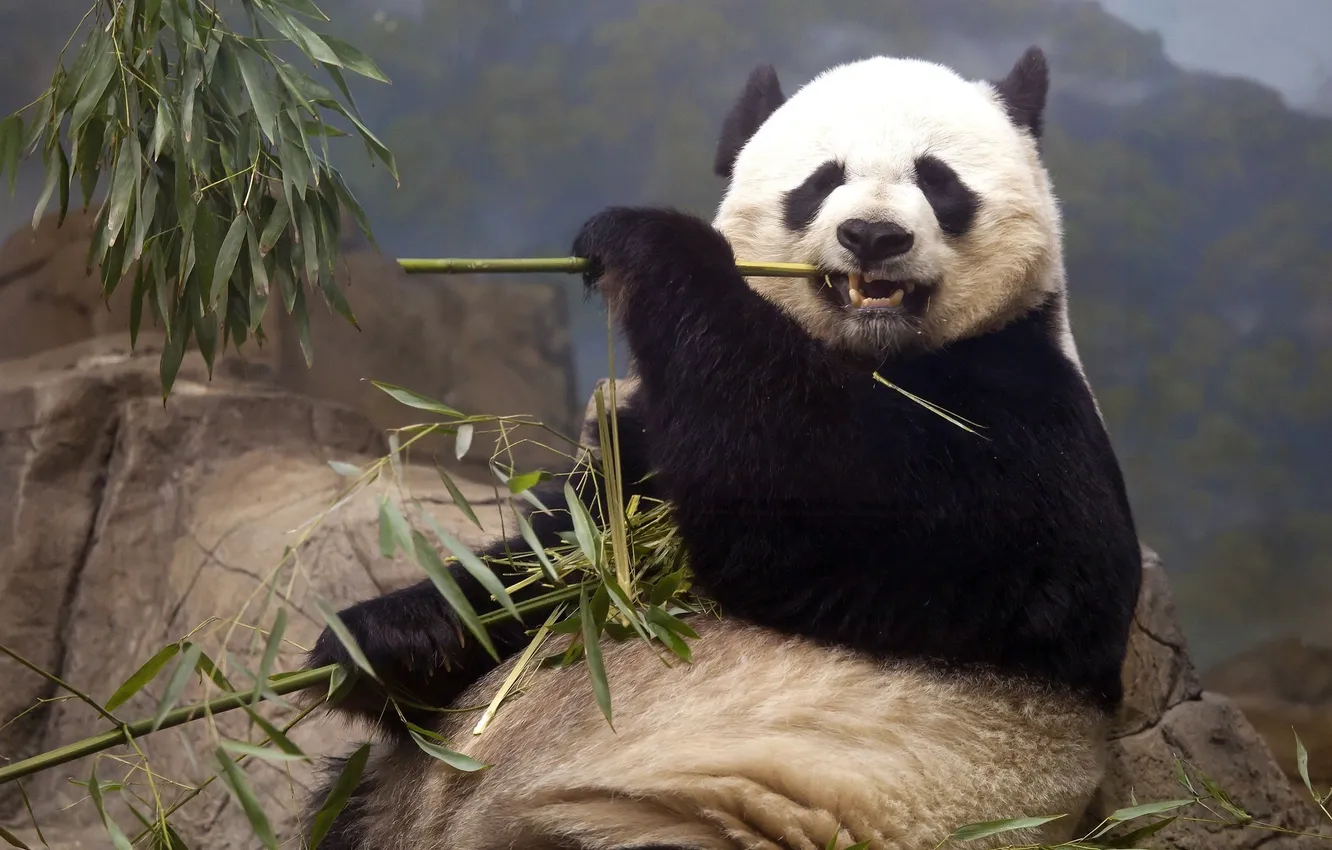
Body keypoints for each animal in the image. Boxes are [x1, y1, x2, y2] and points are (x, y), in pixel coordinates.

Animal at [302, 45, 1143, 850]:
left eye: (938, 182)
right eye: (822, 180)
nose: (874, 237)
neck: (870, 353)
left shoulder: (1029, 412)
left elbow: (846, 505)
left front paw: (647, 239)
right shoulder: (647, 455)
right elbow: (571, 558)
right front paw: (389, 638)